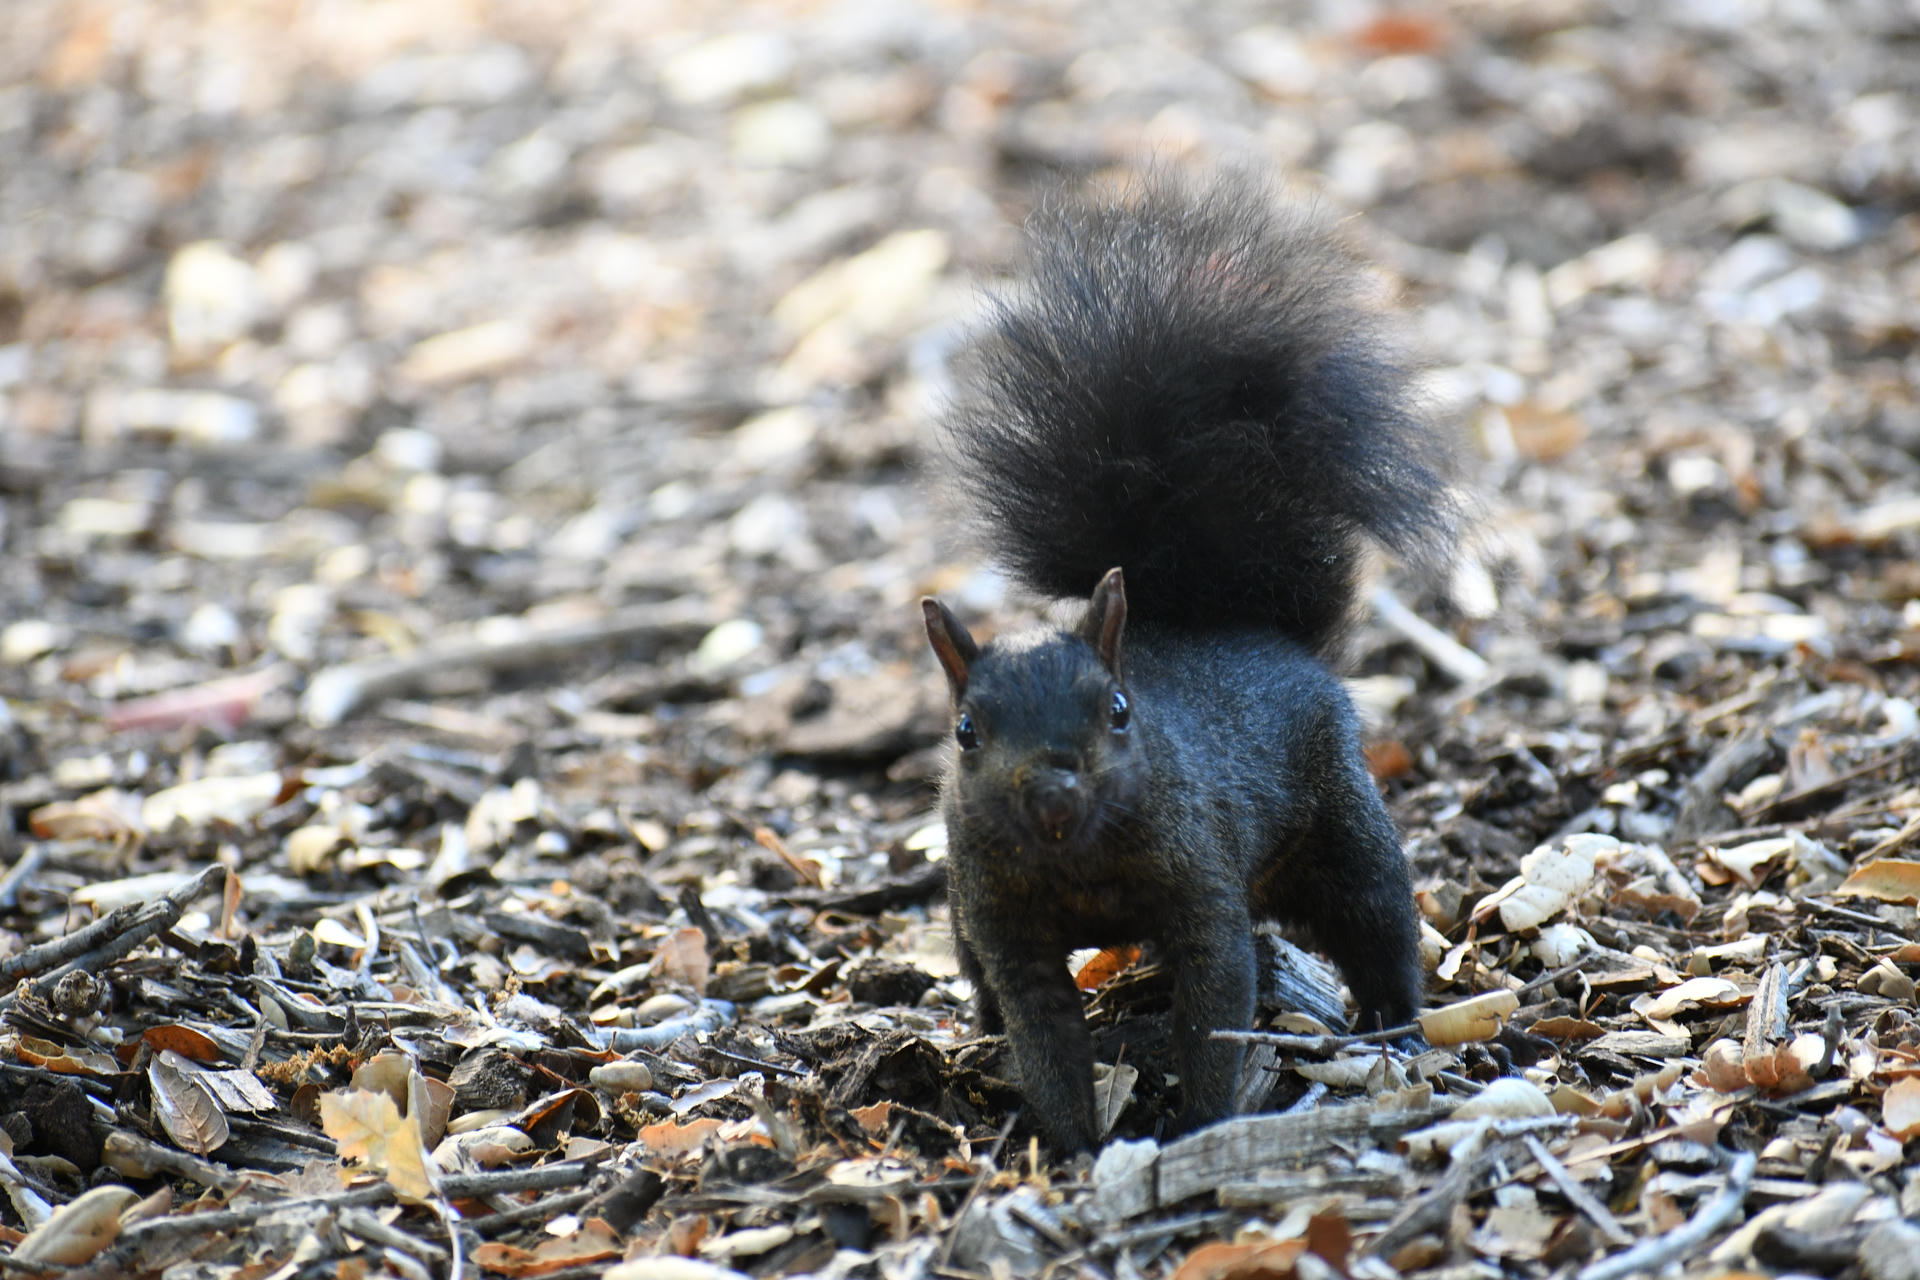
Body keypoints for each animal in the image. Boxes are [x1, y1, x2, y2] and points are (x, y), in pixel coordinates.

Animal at [919, 174, 1461, 1154]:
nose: (1052, 794)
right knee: (974, 972)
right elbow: (1040, 1031)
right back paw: (975, 1029)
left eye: (1119, 710)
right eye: (966, 732)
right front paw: (1073, 1143)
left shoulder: (1201, 883)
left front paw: (1202, 1124)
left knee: (1378, 920)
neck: (1079, 860)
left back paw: (1394, 1027)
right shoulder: (1006, 922)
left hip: (1340, 825)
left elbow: (1214, 1004)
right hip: (960, 906)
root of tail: (1250, 633)